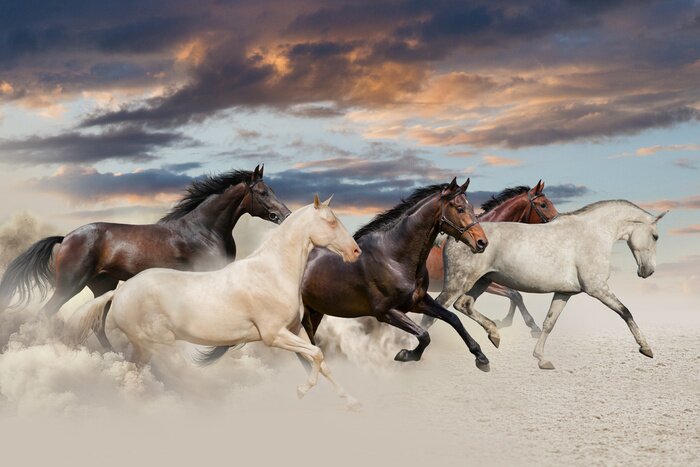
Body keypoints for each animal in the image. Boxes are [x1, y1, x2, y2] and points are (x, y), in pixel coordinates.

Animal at [0, 165, 291, 325]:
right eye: (262, 192)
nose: (285, 215)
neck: (204, 230)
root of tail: (67, 237)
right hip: (69, 286)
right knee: (45, 315)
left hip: (103, 286)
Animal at [65, 195, 362, 407]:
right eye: (331, 221)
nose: (355, 251)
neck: (272, 272)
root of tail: (120, 292)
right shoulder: (274, 335)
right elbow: (317, 354)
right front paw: (302, 391)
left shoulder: (294, 329)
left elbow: (319, 359)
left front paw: (351, 401)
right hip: (157, 345)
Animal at [420, 200, 667, 369]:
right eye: (655, 236)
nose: (647, 271)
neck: (592, 234)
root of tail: (453, 236)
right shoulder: (597, 288)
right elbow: (625, 311)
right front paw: (646, 348)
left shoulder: (564, 292)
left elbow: (549, 323)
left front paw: (541, 359)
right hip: (458, 282)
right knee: (435, 312)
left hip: (482, 281)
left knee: (464, 305)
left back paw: (494, 335)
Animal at [427, 181, 558, 335]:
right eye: (543, 205)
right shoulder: (487, 282)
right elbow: (514, 294)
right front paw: (531, 325)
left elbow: (515, 294)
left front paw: (504, 322)